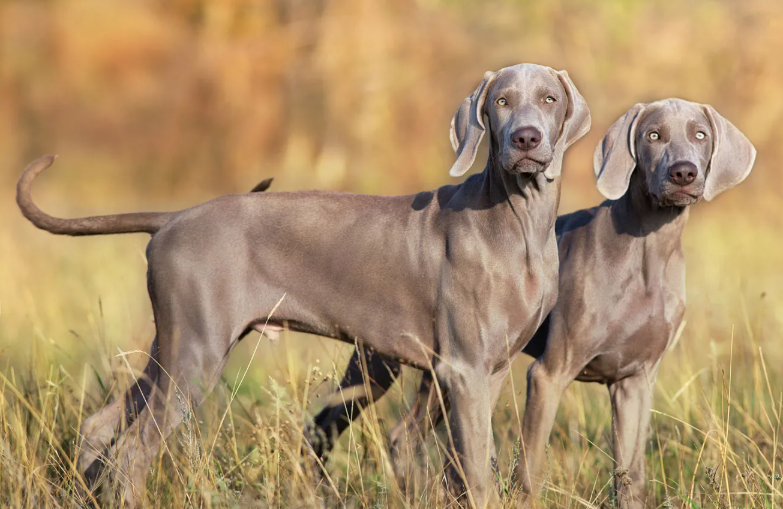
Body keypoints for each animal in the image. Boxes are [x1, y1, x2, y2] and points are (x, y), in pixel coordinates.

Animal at [15, 64, 592, 508]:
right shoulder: (464, 369)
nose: (526, 138)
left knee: (100, 425)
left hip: (173, 348)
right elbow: (473, 470)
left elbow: (466, 464)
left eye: (549, 98)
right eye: (501, 101)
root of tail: (174, 217)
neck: (519, 223)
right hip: (195, 358)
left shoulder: (489, 372)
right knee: (133, 450)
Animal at [306, 97, 752, 506]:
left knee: (405, 435)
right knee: (330, 422)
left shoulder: (636, 380)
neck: (649, 251)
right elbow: (529, 468)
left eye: (700, 135)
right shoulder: (549, 374)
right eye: (653, 136)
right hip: (380, 363)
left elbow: (631, 476)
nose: (684, 173)